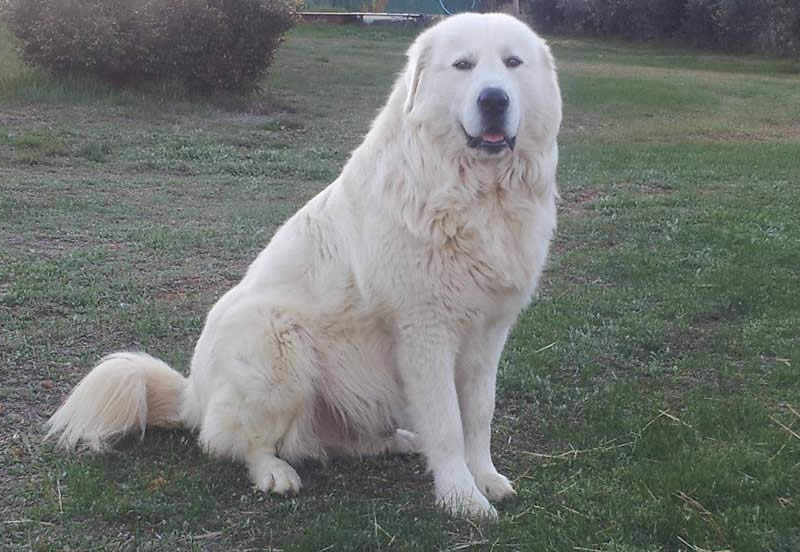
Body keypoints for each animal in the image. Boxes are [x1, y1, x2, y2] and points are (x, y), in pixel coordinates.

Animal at [45, 14, 564, 520]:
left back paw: (396, 441)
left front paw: (485, 478)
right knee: (236, 443)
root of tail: (193, 393)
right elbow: (447, 423)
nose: (494, 99)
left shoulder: (488, 333)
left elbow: (478, 415)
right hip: (276, 338)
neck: (476, 194)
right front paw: (461, 497)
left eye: (512, 63)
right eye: (463, 65)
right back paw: (274, 473)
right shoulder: (425, 332)